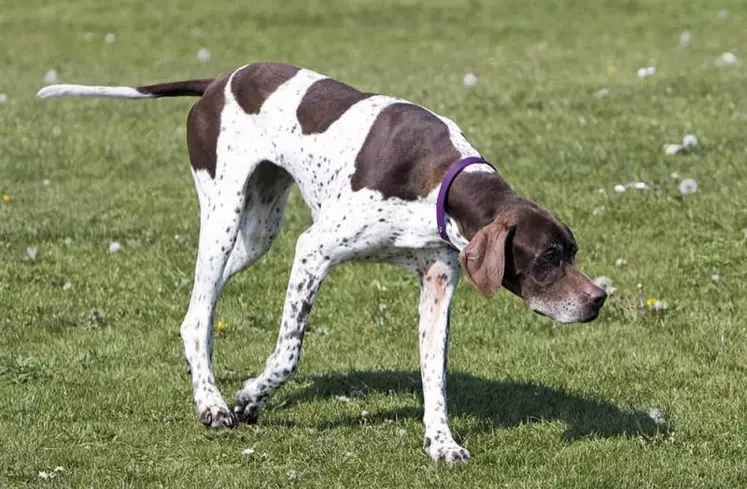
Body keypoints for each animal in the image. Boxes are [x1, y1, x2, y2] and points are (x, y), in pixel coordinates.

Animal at [36, 62, 608, 466]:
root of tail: (218, 80)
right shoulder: (314, 249)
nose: (598, 299)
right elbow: (289, 353)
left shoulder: (439, 284)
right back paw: (212, 403)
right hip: (223, 215)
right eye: (548, 258)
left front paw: (441, 443)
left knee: (198, 307)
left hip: (258, 234)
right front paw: (249, 397)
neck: (440, 179)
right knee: (199, 314)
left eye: (572, 252)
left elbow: (435, 375)